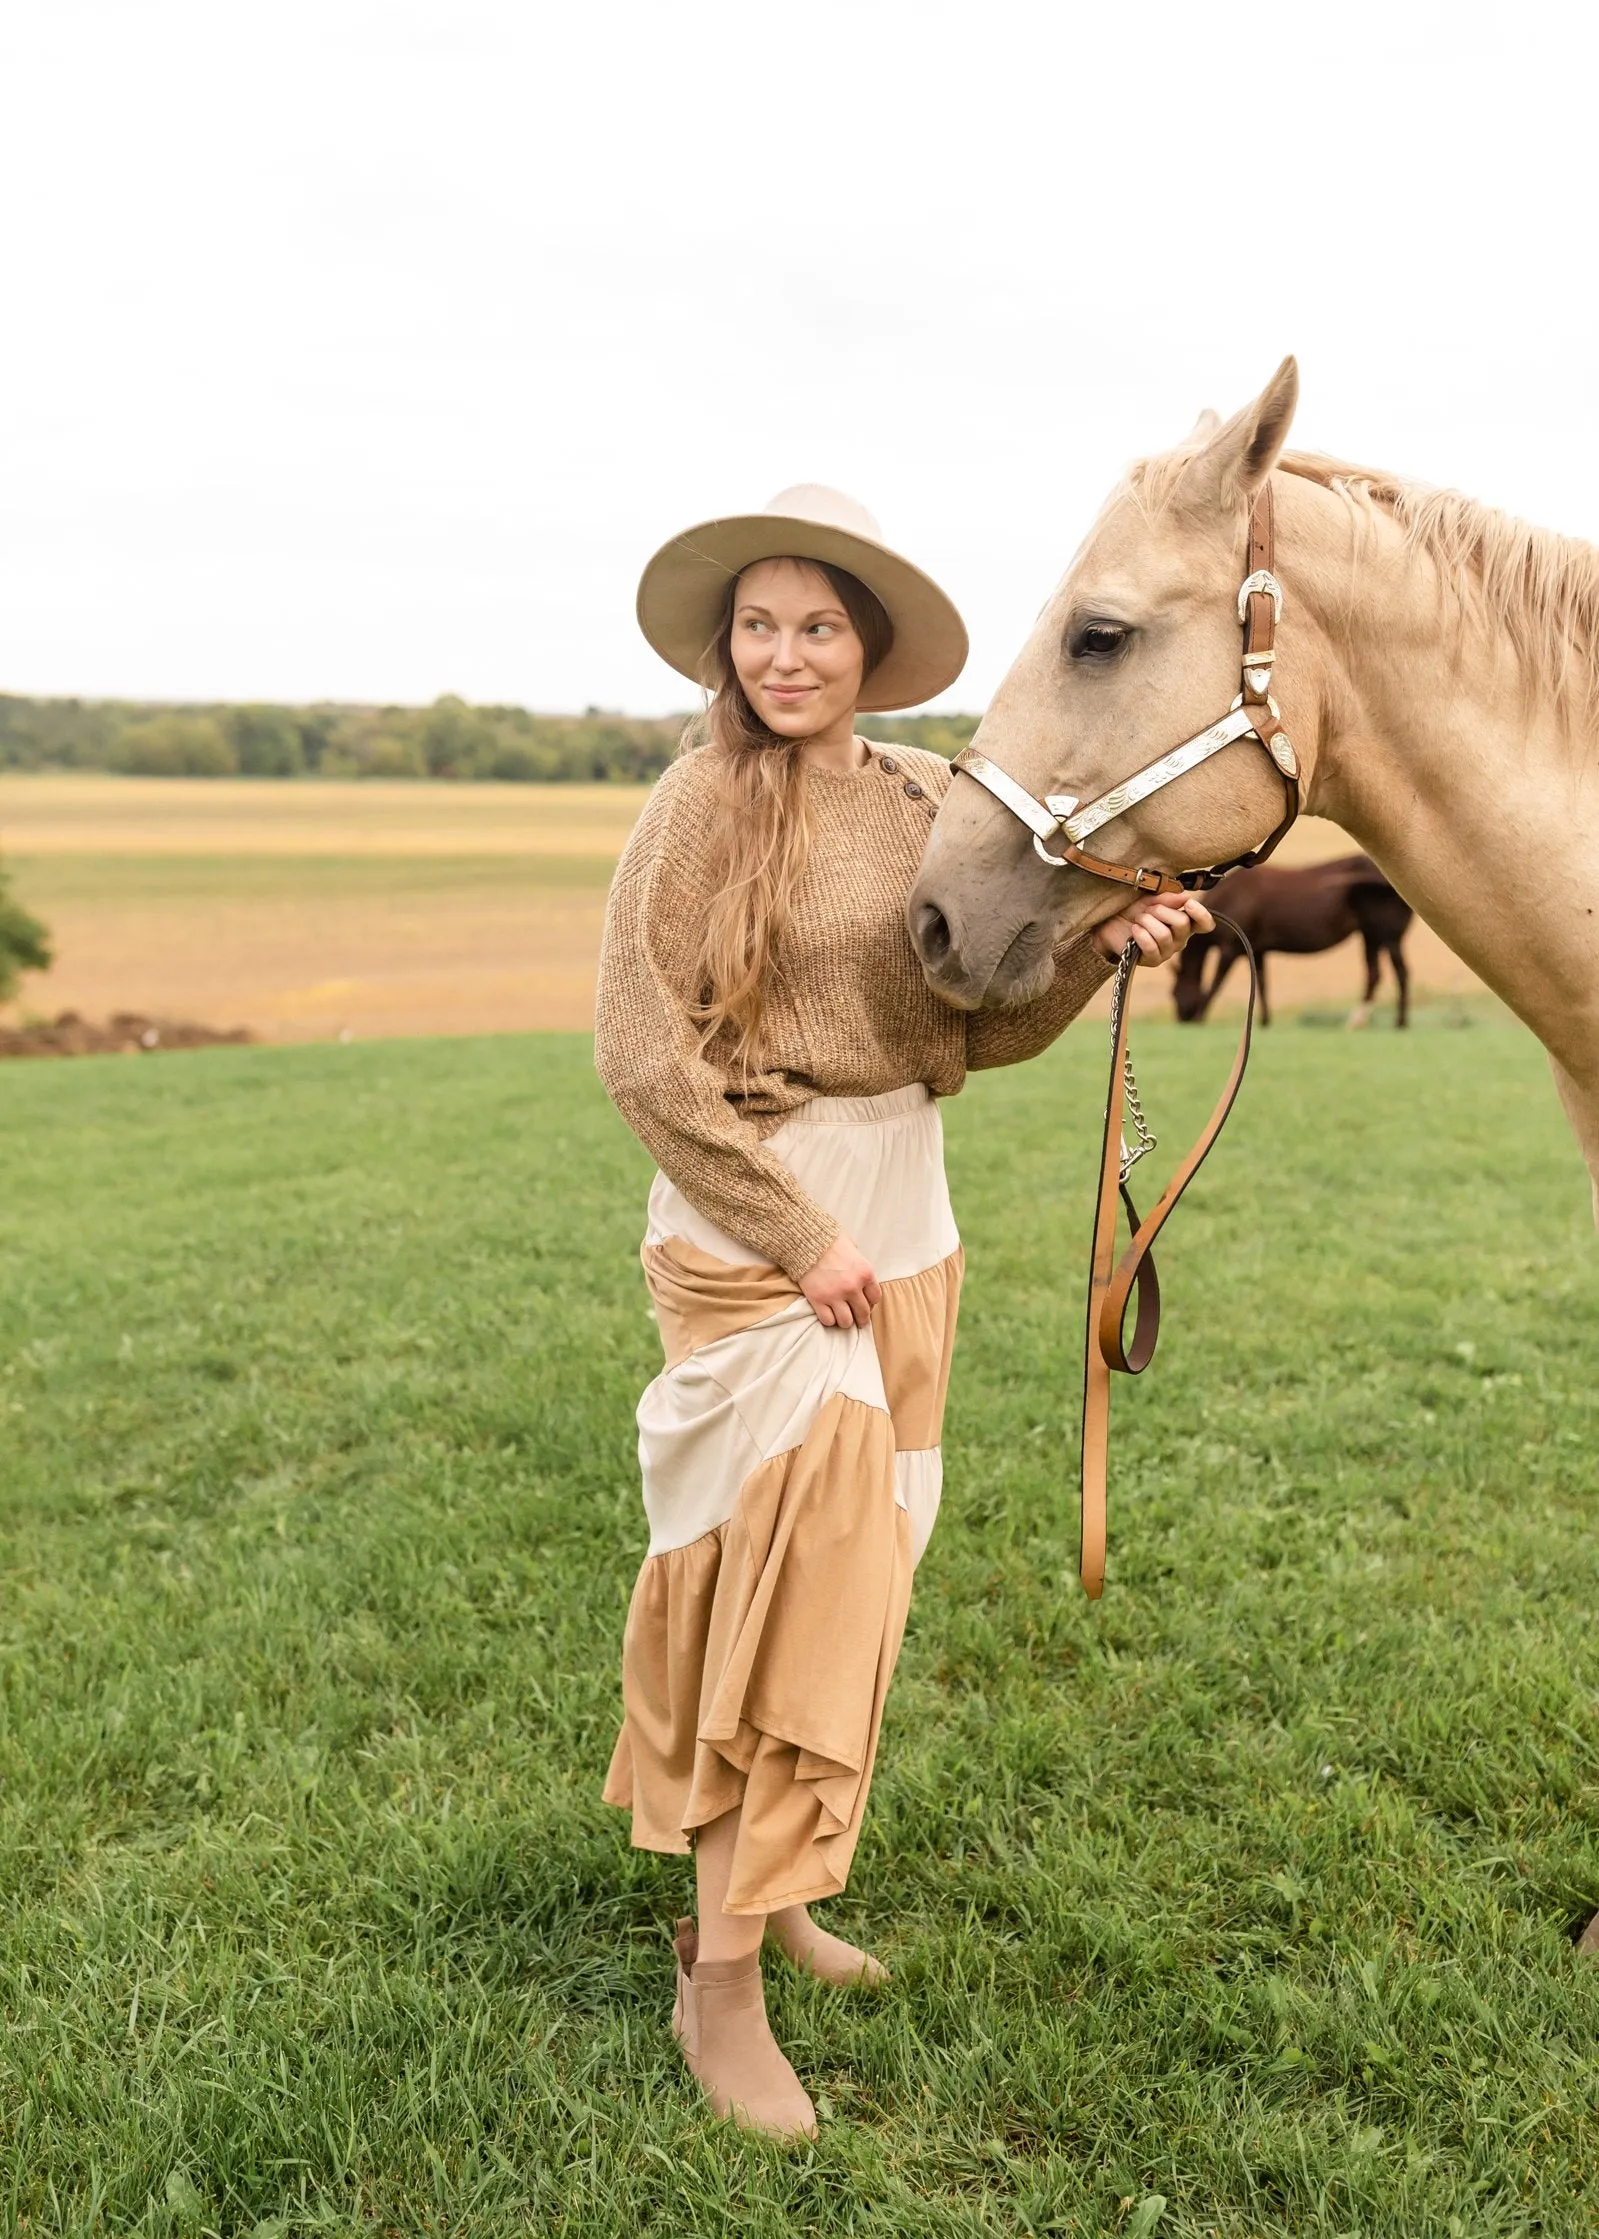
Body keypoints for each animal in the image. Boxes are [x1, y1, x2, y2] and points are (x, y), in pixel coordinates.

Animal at [1155, 855, 1406, 1029]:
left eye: (1174, 993)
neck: (1232, 897)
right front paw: (1265, 1021)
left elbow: (1216, 983)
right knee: (1375, 975)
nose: (1182, 1020)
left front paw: (1201, 1016)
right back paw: (1359, 1022)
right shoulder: (1257, 949)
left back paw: (1397, 1022)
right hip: (1371, 936)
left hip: (1386, 937)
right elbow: (1263, 983)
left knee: (1400, 972)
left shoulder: (1230, 950)